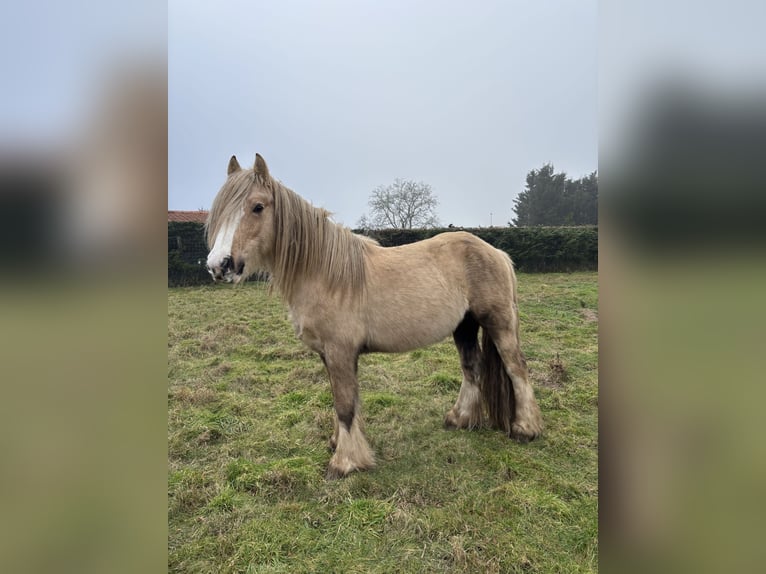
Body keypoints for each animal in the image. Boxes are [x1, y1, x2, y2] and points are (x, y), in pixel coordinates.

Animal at [207, 154, 544, 482]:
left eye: (258, 207)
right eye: (220, 210)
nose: (219, 265)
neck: (325, 274)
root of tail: (496, 253)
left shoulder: (340, 351)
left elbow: (344, 405)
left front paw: (344, 462)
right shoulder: (329, 354)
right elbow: (342, 401)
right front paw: (338, 443)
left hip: (498, 322)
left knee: (517, 368)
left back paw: (525, 429)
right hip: (464, 326)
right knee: (471, 368)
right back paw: (458, 419)